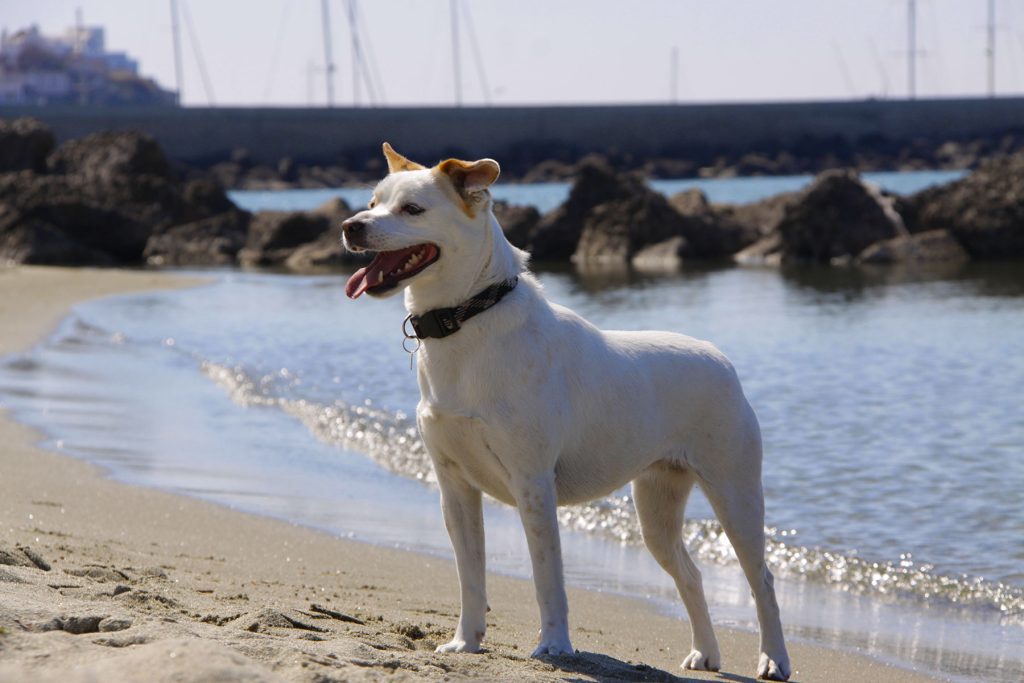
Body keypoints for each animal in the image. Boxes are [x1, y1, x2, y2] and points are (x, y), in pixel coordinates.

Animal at [344, 143, 790, 679]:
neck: (467, 318)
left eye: (412, 209)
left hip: (735, 493)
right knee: (691, 575)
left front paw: (554, 645)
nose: (350, 226)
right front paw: (465, 642)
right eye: (372, 202)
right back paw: (705, 653)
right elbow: (470, 575)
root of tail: (719, 358)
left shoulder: (534, 484)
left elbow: (547, 576)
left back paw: (773, 660)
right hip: (657, 509)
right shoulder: (454, 486)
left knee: (762, 580)